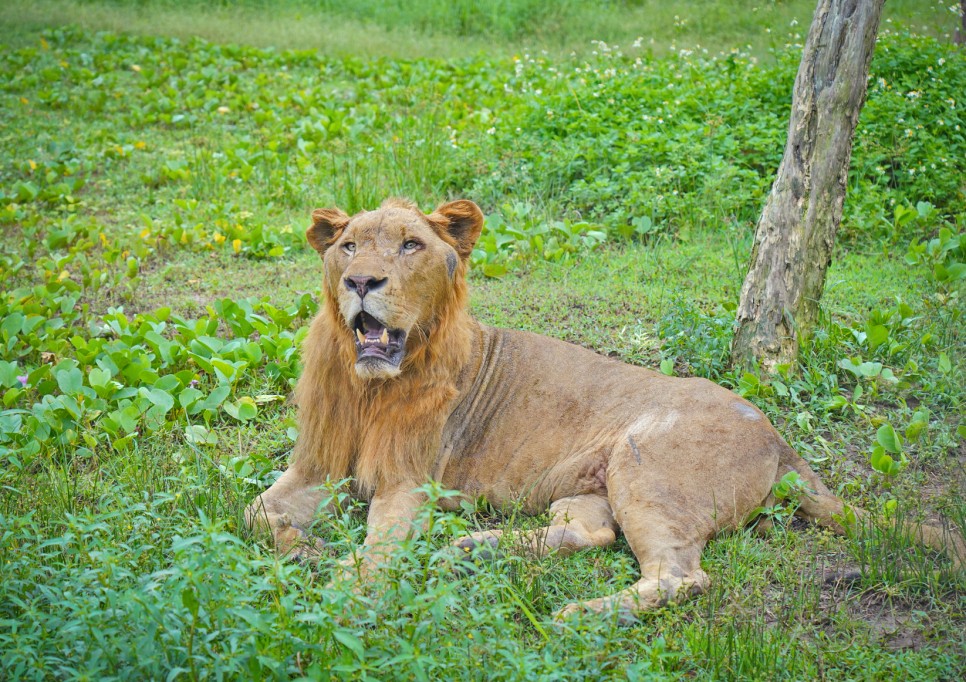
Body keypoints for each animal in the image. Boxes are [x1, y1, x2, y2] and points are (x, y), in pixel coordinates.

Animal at [248, 198, 960, 620]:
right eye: (348, 246)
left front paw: (339, 593)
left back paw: (577, 616)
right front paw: (302, 549)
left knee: (678, 577)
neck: (370, 387)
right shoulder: (316, 468)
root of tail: (780, 438)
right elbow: (255, 513)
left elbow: (376, 548)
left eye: (409, 246)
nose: (361, 282)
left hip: (642, 464)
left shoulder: (410, 484)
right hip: (592, 484)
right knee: (592, 533)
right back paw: (471, 549)